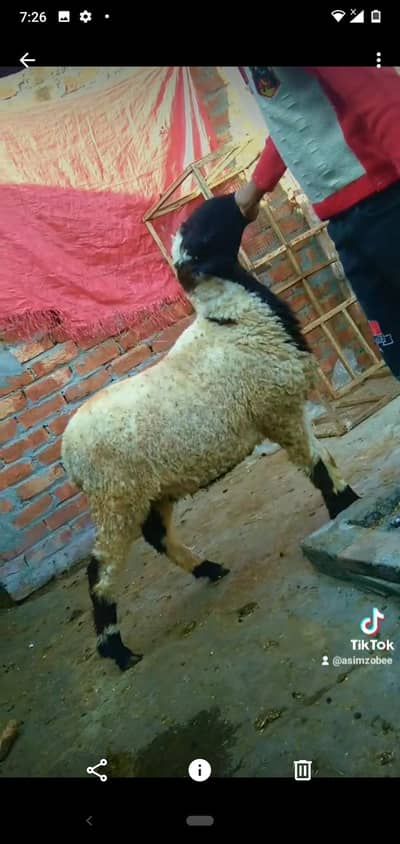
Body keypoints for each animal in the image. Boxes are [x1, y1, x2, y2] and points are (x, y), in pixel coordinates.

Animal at [61, 192, 359, 672]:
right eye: (204, 231)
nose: (240, 198)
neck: (231, 319)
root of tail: (67, 456)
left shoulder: (287, 409)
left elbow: (324, 458)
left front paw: (348, 501)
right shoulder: (277, 409)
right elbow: (316, 465)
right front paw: (345, 505)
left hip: (150, 488)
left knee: (157, 536)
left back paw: (208, 569)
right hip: (115, 496)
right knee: (101, 569)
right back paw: (118, 650)